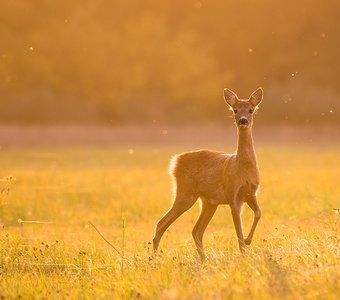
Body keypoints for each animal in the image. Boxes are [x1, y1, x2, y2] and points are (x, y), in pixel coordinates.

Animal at [153, 87, 264, 260]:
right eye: (235, 110)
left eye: (251, 110)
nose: (243, 121)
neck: (243, 167)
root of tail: (175, 162)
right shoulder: (233, 195)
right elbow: (238, 229)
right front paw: (244, 251)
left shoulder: (251, 193)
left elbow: (258, 213)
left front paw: (248, 240)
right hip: (186, 193)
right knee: (161, 224)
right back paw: (153, 258)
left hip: (209, 202)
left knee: (196, 230)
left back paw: (203, 258)